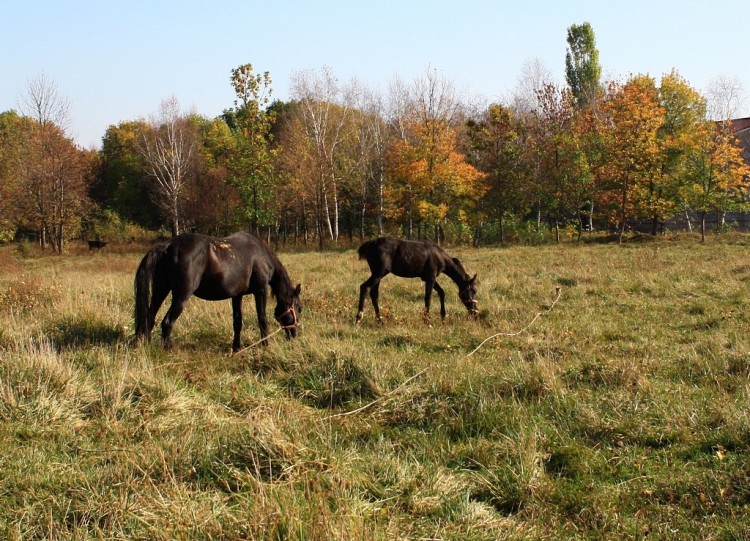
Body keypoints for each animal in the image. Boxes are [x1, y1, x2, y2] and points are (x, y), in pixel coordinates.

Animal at [135, 231, 302, 350]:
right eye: (298, 307)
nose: (296, 334)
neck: (260, 256)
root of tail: (167, 246)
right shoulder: (260, 291)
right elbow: (262, 319)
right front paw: (265, 345)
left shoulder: (237, 295)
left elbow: (237, 322)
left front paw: (236, 347)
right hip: (181, 295)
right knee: (167, 322)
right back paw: (167, 349)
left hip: (160, 290)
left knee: (149, 317)